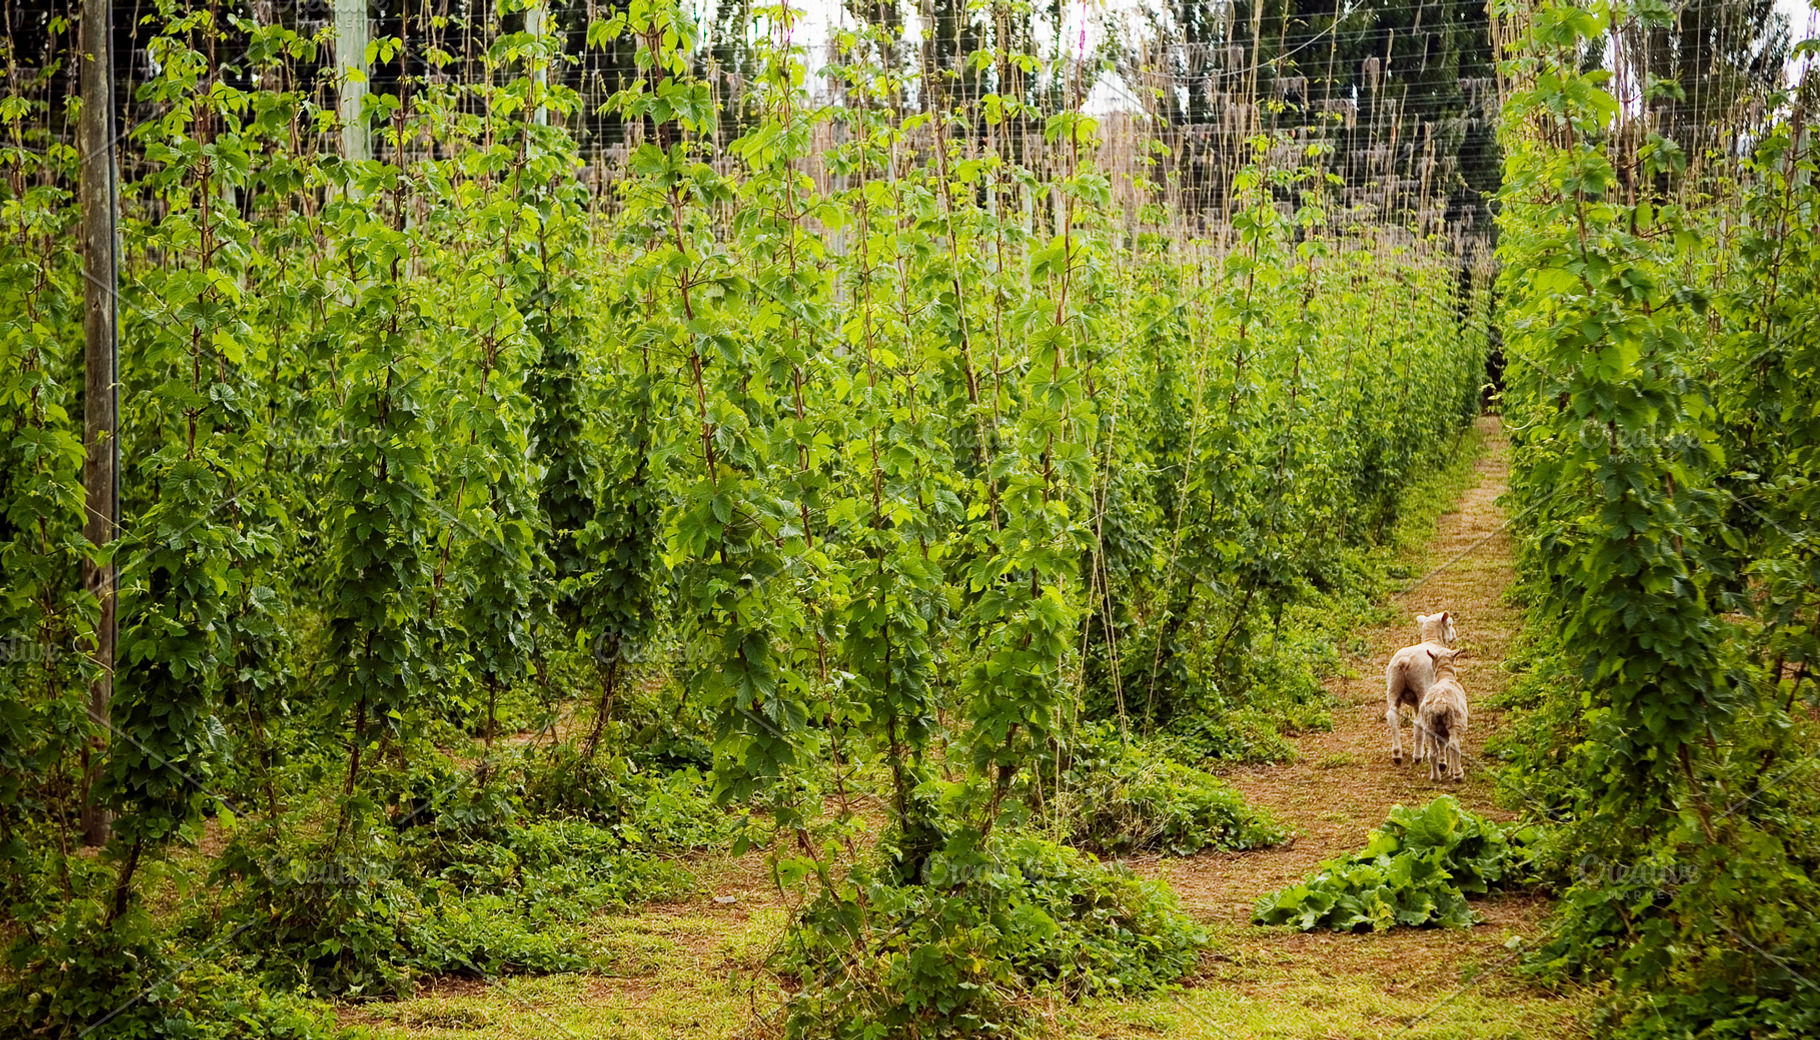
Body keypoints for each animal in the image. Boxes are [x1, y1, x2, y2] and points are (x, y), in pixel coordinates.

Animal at [1384, 611, 1457, 765]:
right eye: (1450, 624)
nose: (1454, 635)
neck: (1432, 640)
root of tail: (1404, 661)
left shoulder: (1416, 703)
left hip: (1393, 687)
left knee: (1393, 717)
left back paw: (1397, 754)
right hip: (1421, 688)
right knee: (1418, 723)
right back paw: (1417, 756)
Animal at [1415, 646, 1469, 782]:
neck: (1445, 677)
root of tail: (1440, 703)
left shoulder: (1441, 730)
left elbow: (1442, 744)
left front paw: (1442, 764)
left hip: (1429, 725)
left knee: (1433, 752)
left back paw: (1435, 776)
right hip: (1455, 722)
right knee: (1454, 745)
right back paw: (1458, 774)